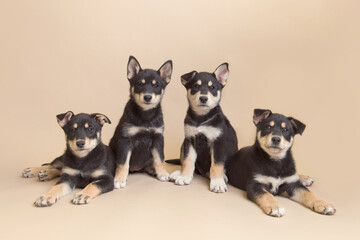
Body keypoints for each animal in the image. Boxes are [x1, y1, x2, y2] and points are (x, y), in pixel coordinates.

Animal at [109, 55, 172, 188]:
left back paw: (153, 170)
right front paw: (119, 179)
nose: (147, 97)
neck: (145, 116)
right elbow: (123, 162)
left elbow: (160, 158)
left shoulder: (158, 137)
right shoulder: (125, 140)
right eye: (139, 84)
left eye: (156, 85)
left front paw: (162, 173)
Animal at [169, 62, 239, 193]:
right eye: (196, 86)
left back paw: (221, 177)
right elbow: (187, 161)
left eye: (212, 88)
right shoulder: (189, 140)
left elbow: (216, 165)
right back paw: (178, 173)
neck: (201, 118)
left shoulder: (218, 143)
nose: (203, 98)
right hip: (183, 145)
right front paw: (184, 176)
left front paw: (217, 183)